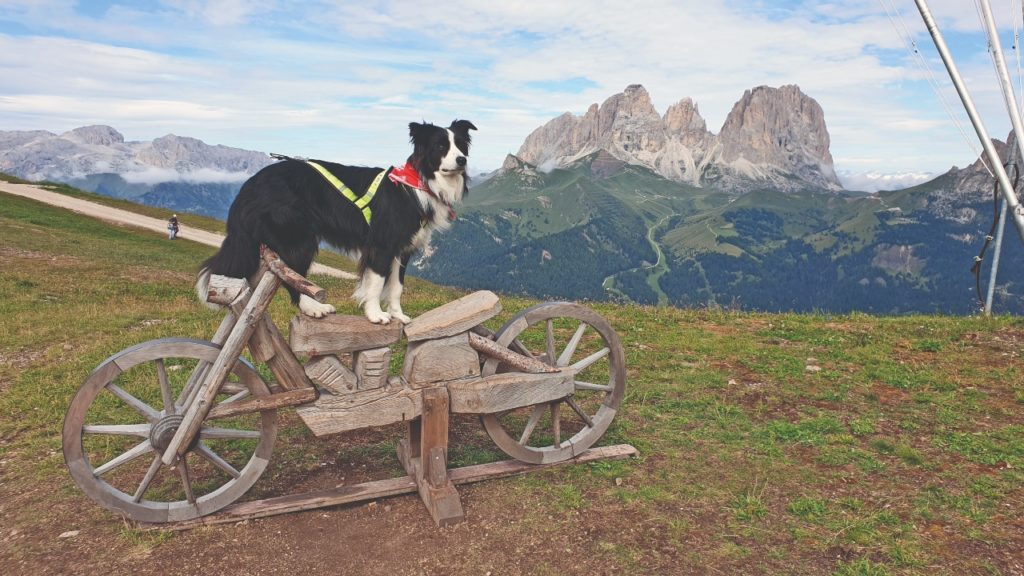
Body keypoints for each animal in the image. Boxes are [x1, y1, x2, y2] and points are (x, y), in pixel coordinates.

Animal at [197, 119, 477, 323]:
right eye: (440, 146)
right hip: (299, 239)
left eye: (461, 146)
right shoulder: (382, 245)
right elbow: (376, 283)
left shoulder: (403, 249)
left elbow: (396, 286)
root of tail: (249, 185)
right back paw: (313, 308)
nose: (463, 160)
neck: (418, 182)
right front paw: (376, 315)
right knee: (292, 278)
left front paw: (398, 315)